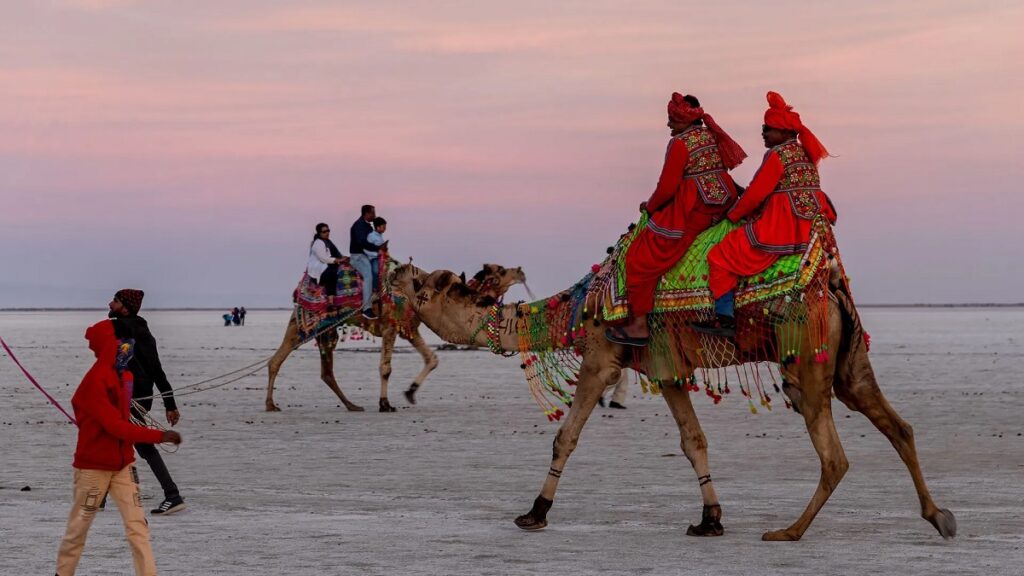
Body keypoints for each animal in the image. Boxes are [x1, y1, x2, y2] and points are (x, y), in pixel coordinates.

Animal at [264, 264, 528, 412]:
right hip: (305, 324)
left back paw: (351, 405)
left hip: (322, 328)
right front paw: (385, 404)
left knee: (319, 370)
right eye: (501, 270)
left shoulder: (410, 328)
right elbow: (386, 368)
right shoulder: (391, 326)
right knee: (279, 359)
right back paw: (270, 404)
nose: (521, 272)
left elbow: (432, 359)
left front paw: (410, 393)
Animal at [387, 217, 954, 541]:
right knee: (898, 425)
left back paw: (789, 531)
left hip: (807, 362)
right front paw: (711, 519)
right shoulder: (667, 370)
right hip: (845, 361)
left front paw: (535, 512)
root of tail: (831, 283)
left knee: (834, 455)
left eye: (424, 284)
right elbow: (693, 441)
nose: (393, 272)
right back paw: (937, 516)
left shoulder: (602, 357)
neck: (578, 308)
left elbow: (564, 437)